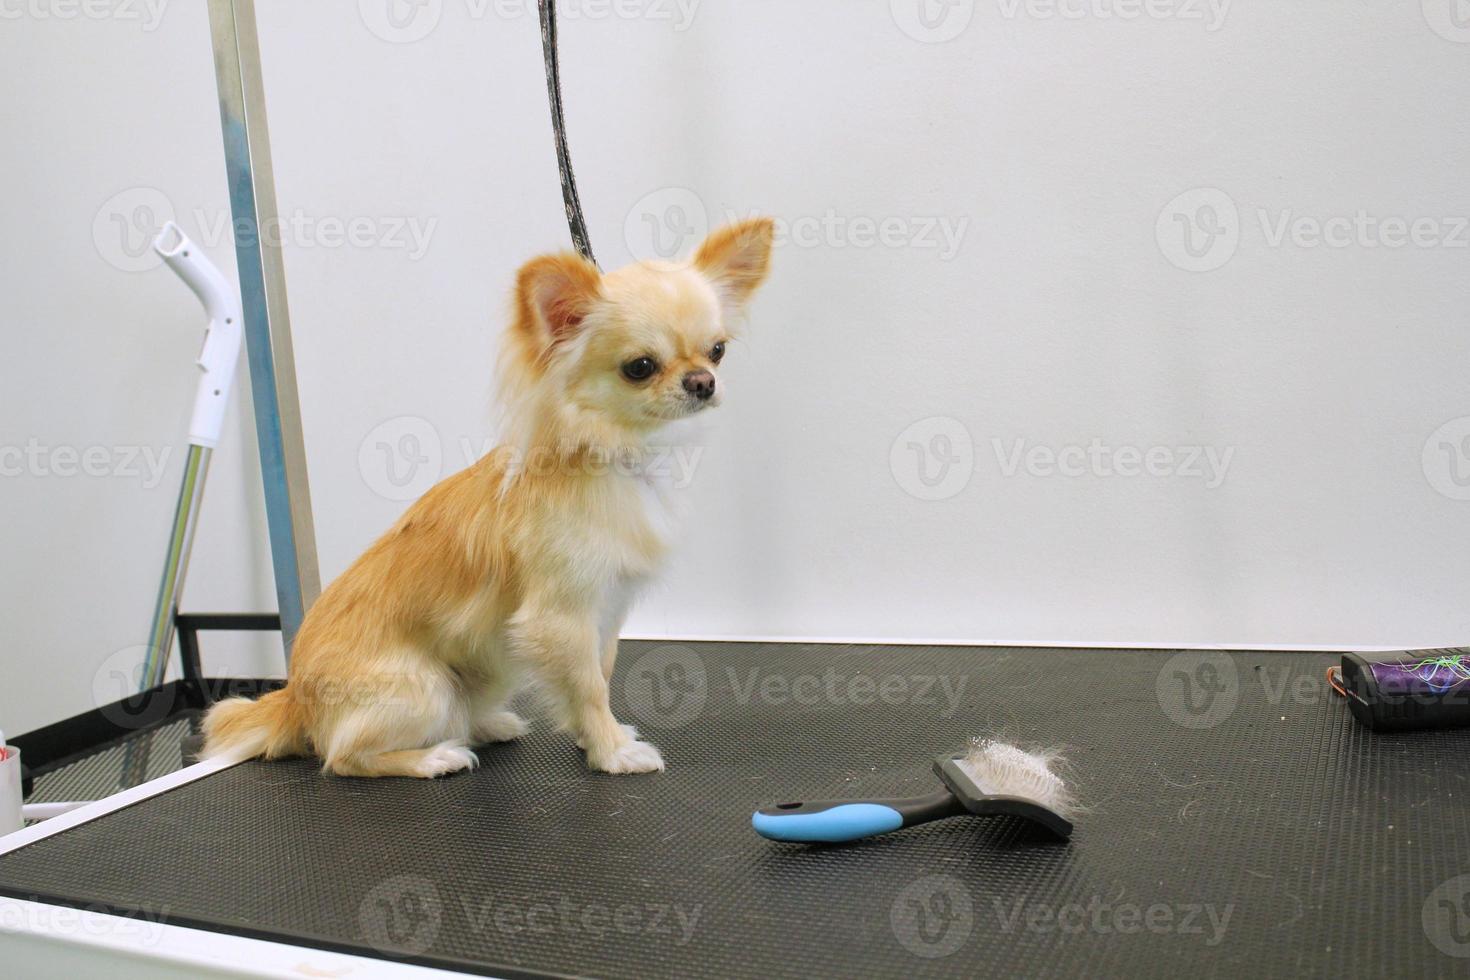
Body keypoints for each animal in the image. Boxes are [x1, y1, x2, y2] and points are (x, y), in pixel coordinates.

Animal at [207, 218, 782, 775]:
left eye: (718, 351)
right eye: (639, 367)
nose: (703, 381)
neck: (621, 456)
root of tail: (294, 700)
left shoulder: (605, 612)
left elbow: (599, 672)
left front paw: (594, 736)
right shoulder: (560, 618)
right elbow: (589, 688)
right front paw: (612, 752)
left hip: (489, 668)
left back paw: (486, 725)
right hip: (424, 689)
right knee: (342, 757)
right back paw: (434, 757)